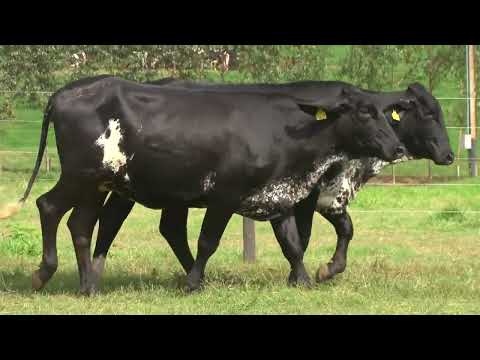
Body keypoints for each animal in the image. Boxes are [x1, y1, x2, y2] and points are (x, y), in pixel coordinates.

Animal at [1, 75, 404, 292]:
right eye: (364, 112)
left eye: (387, 113)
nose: (397, 147)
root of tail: (65, 92)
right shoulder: (224, 195)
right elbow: (208, 240)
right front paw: (193, 281)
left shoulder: (279, 194)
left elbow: (292, 244)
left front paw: (303, 279)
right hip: (79, 175)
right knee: (49, 207)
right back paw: (43, 274)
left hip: (97, 183)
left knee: (81, 225)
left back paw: (89, 286)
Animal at [90, 78, 454, 290]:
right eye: (428, 114)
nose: (449, 155)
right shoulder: (310, 194)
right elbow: (307, 235)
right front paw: (307, 274)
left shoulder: (325, 195)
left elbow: (341, 229)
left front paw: (321, 270)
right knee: (112, 222)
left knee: (170, 228)